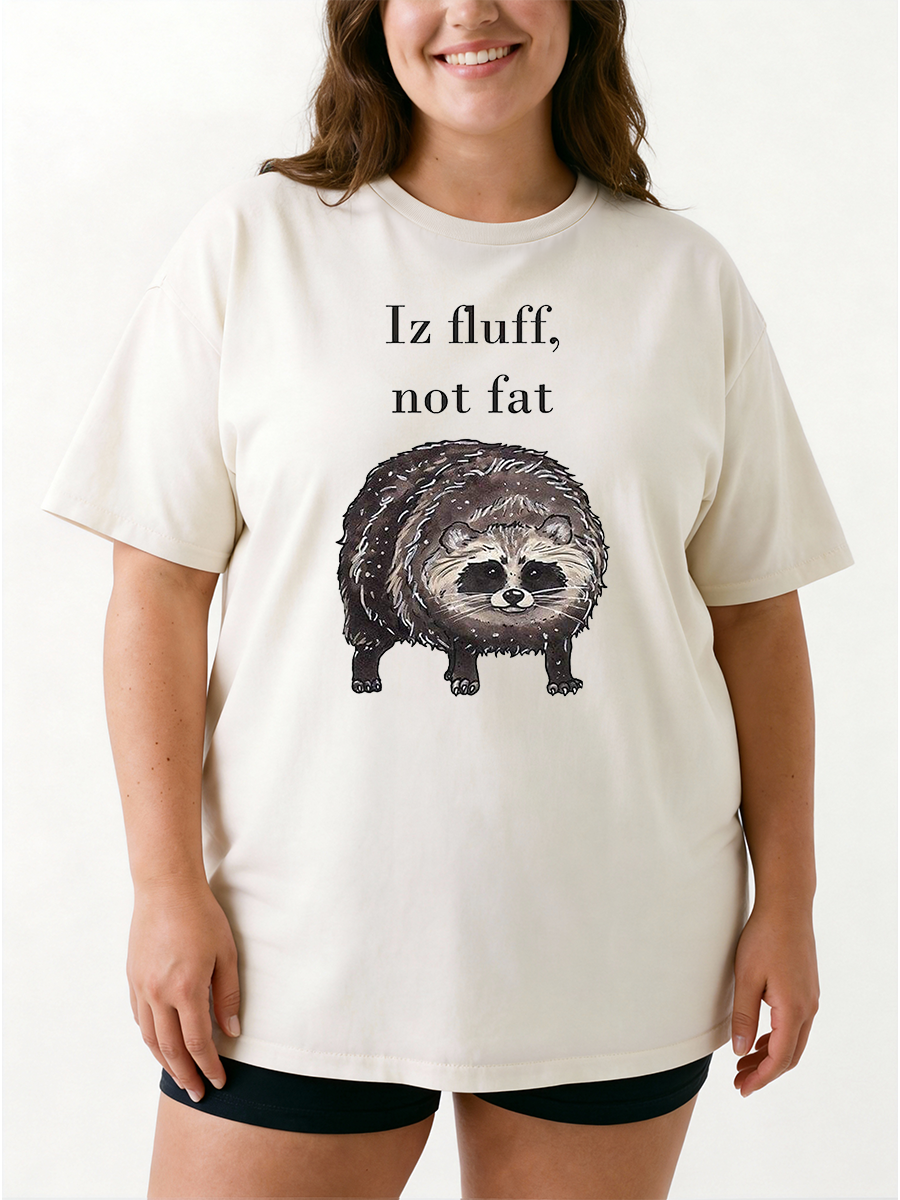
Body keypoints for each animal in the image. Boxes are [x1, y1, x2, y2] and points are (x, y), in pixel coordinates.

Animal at [337, 439, 608, 696]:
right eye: (491, 571)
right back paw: (366, 663)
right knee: (370, 621)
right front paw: (465, 669)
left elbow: (560, 640)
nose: (513, 595)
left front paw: (560, 671)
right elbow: (461, 636)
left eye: (534, 571)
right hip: (369, 569)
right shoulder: (424, 575)